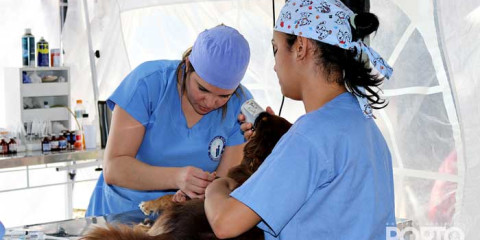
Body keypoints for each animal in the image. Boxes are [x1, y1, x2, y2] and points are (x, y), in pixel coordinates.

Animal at [82, 113, 290, 240]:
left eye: (264, 120)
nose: (261, 114)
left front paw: (149, 206)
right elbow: (171, 194)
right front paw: (152, 204)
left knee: (145, 232)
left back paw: (144, 224)